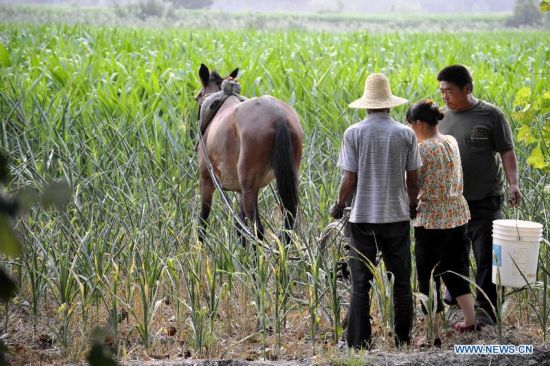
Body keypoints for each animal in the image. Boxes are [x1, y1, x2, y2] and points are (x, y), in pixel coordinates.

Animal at [196, 64, 304, 243]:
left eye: (197, 97)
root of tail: (278, 115)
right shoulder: (240, 190)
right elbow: (240, 229)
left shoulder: (206, 182)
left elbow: (202, 225)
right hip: (285, 181)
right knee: (287, 225)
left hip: (249, 188)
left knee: (257, 229)